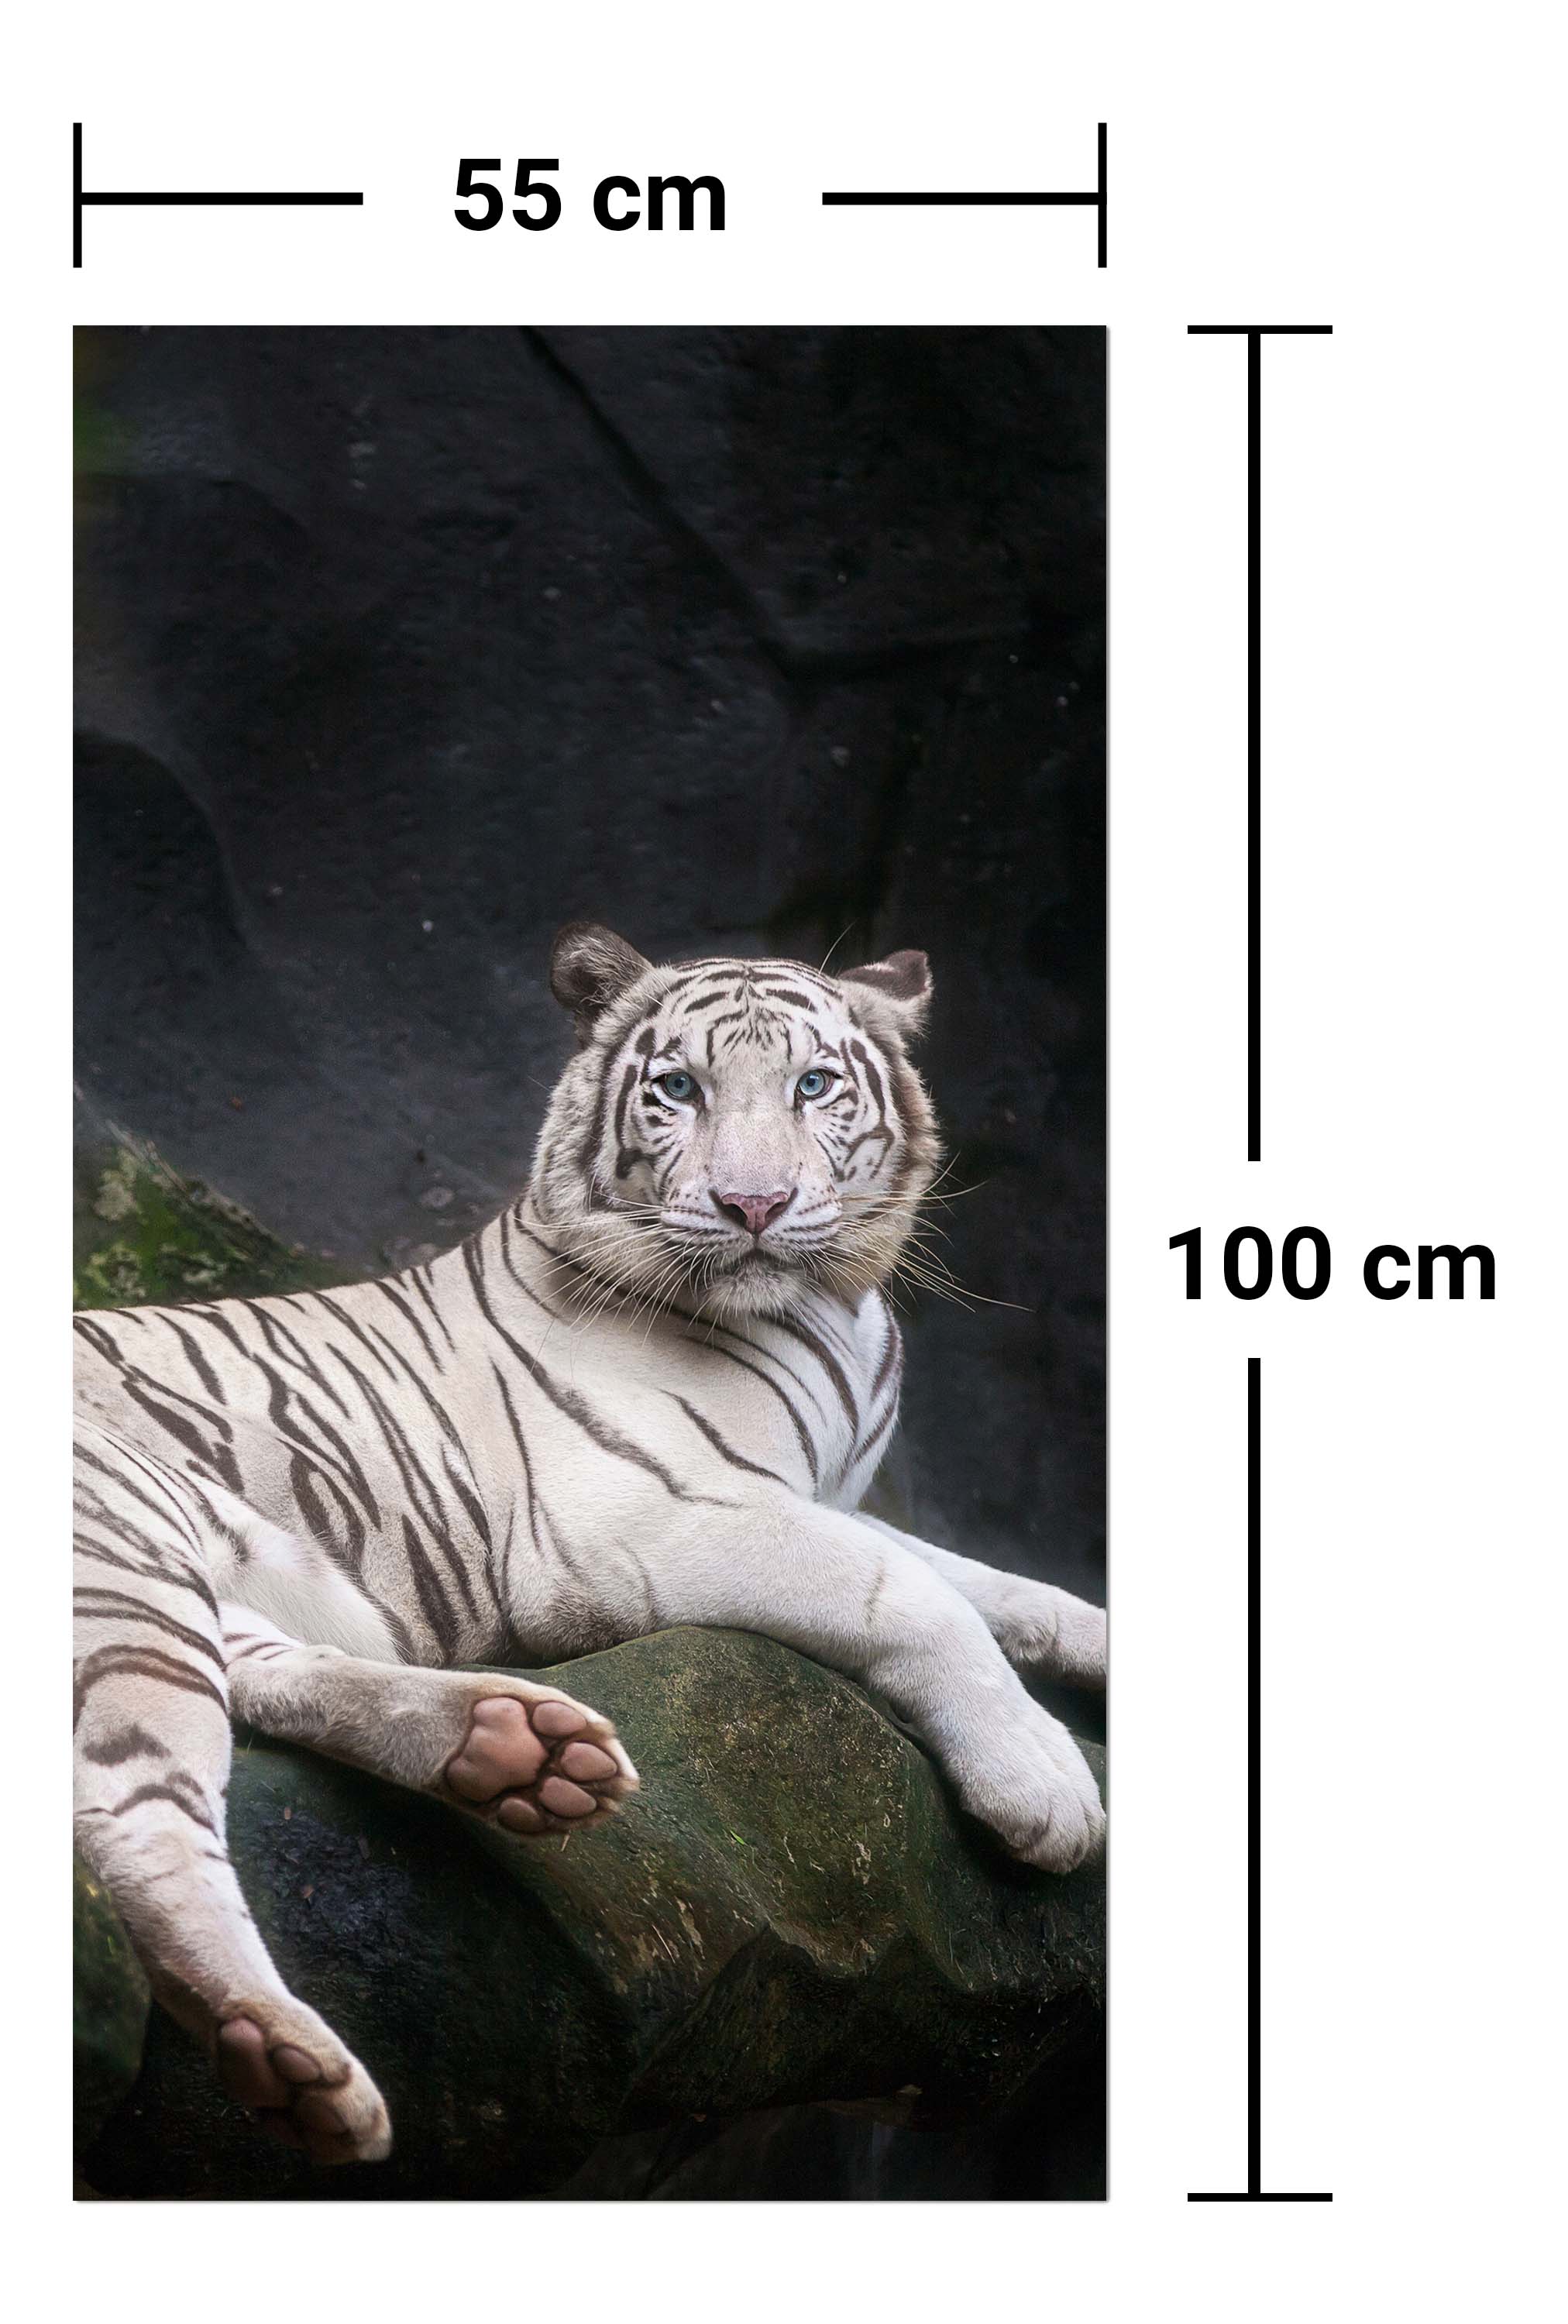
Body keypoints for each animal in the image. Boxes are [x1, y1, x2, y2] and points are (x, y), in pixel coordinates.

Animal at [73, 923, 1107, 2165]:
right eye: (680, 1090)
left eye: (814, 1086)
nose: (753, 1204)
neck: (832, 1313)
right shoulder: (638, 1516)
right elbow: (909, 1592)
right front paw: (1043, 1782)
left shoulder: (819, 1496)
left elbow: (996, 1583)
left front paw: (1102, 1641)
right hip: (120, 1551)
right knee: (136, 1810)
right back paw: (285, 2056)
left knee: (261, 1678)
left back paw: (514, 1748)